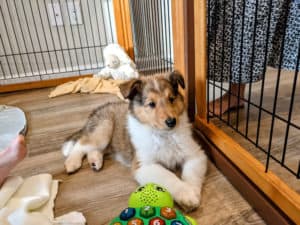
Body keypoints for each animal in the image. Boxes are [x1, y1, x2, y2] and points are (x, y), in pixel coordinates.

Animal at [61, 71, 206, 211]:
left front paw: (192, 193)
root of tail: (98, 110)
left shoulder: (196, 155)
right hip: (102, 130)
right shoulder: (143, 165)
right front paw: (186, 194)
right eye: (151, 104)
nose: (172, 122)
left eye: (171, 99)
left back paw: (95, 162)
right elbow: (168, 176)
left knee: (94, 149)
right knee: (82, 144)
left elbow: (191, 174)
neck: (164, 135)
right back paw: (72, 163)